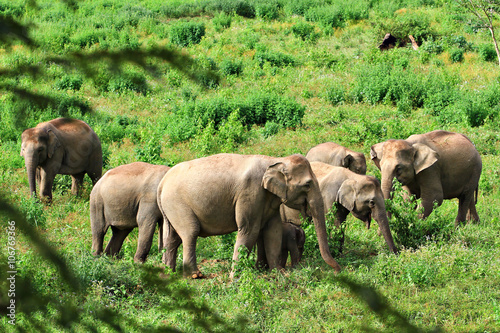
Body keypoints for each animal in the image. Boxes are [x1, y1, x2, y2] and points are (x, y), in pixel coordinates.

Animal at [158, 153, 342, 278]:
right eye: (308, 184)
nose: (338, 270)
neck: (274, 160)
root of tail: (162, 183)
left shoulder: (269, 199)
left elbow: (273, 231)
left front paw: (277, 272)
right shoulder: (250, 193)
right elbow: (249, 230)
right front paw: (235, 279)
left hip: (170, 209)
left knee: (173, 238)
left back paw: (169, 273)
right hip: (177, 203)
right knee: (191, 232)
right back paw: (195, 275)